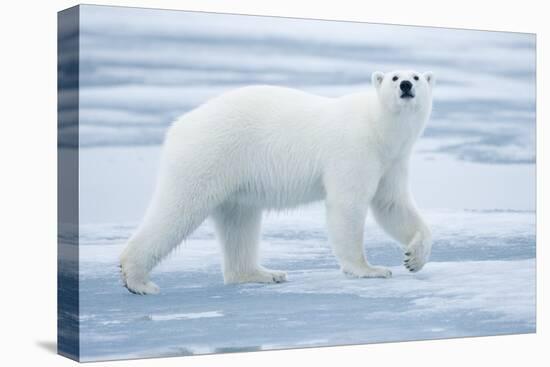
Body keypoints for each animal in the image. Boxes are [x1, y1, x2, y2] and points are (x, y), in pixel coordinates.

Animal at [121, 70, 436, 296]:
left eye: (417, 76)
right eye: (394, 77)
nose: (405, 85)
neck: (378, 127)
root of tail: (179, 125)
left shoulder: (392, 160)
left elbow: (392, 205)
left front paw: (414, 258)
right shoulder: (355, 149)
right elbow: (348, 205)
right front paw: (369, 269)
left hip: (234, 178)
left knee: (239, 224)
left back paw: (263, 273)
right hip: (208, 155)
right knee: (179, 209)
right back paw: (137, 279)